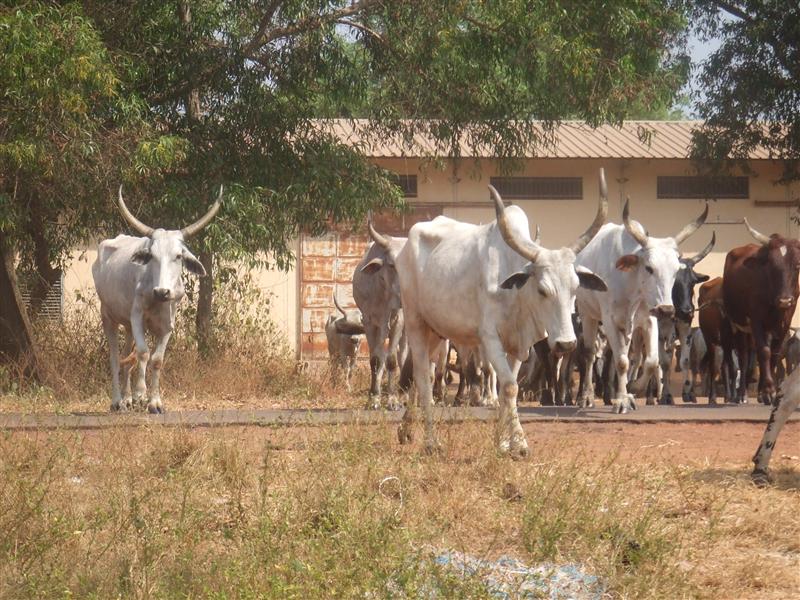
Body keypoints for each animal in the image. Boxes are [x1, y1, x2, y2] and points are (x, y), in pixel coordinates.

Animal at [92, 185, 221, 413]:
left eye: (178, 256)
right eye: (151, 255)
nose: (162, 292)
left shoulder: (167, 325)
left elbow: (157, 360)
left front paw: (154, 403)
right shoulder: (136, 316)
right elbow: (143, 354)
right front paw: (141, 393)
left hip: (128, 326)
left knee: (127, 357)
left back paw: (127, 399)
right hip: (108, 317)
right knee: (115, 358)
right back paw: (117, 401)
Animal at [353, 233, 408, 410]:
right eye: (392, 264)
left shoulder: (398, 322)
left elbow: (391, 360)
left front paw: (392, 400)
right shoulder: (370, 323)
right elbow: (376, 360)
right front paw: (374, 398)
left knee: (402, 358)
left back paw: (406, 396)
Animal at [393, 170, 609, 455]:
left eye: (575, 287)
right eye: (542, 289)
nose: (566, 343)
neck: (517, 295)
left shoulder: (519, 345)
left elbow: (509, 387)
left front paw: (503, 442)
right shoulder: (490, 339)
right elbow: (508, 386)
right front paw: (520, 444)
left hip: (436, 331)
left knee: (420, 374)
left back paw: (406, 430)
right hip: (416, 321)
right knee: (423, 377)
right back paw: (430, 442)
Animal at [574, 200, 708, 413]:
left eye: (674, 271)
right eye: (649, 268)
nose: (667, 310)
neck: (631, 284)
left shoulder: (650, 320)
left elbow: (652, 362)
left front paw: (633, 389)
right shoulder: (610, 322)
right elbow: (621, 362)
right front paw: (621, 400)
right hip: (588, 314)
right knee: (589, 354)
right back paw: (586, 397)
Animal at [723, 221, 800, 405]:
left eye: (797, 265)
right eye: (772, 266)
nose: (784, 300)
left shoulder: (784, 322)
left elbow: (774, 353)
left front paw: (768, 392)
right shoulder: (756, 320)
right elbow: (764, 352)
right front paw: (769, 391)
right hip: (738, 326)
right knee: (744, 358)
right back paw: (742, 394)